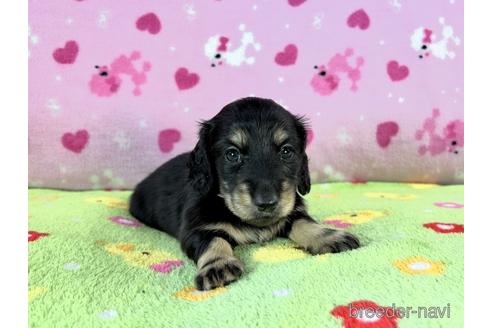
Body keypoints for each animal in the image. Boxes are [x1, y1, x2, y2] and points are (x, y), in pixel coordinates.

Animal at [130, 96, 362, 290]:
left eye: (286, 151)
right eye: (232, 154)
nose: (267, 203)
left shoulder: (293, 211)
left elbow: (304, 222)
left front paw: (328, 236)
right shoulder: (195, 229)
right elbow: (214, 240)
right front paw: (218, 264)